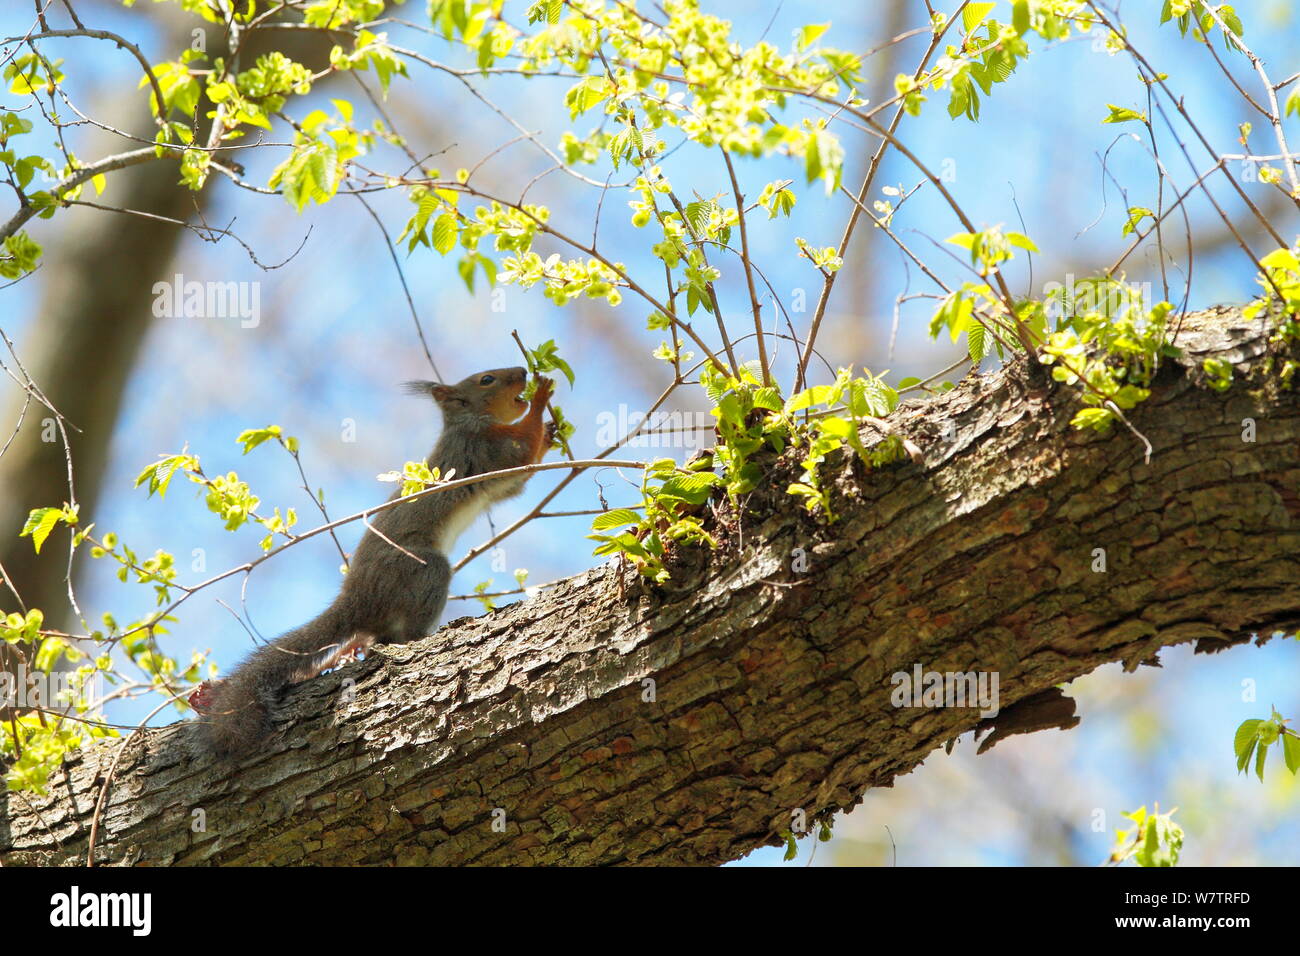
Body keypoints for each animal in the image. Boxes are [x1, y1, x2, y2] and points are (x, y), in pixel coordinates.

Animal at [192, 369, 553, 764]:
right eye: (487, 379)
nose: (523, 372)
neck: (469, 421)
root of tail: (357, 599)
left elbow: (518, 480)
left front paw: (551, 433)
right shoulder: (482, 449)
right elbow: (521, 454)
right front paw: (541, 401)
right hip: (425, 568)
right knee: (408, 630)